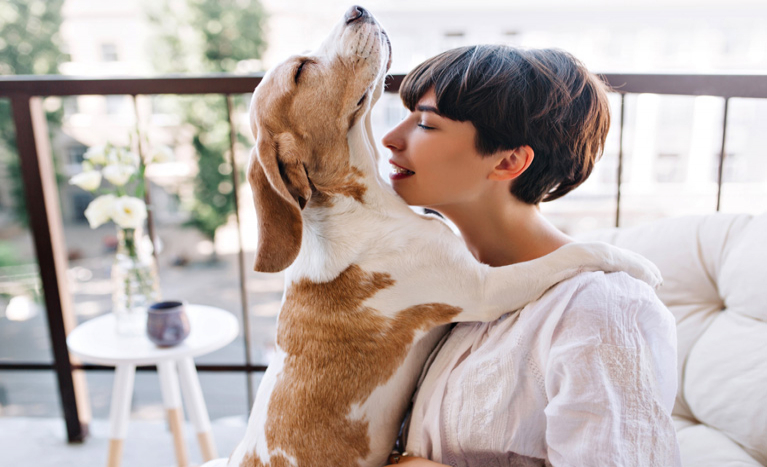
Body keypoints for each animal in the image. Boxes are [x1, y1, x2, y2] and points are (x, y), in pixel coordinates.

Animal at [213, 4, 664, 467]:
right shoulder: (485, 288)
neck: (364, 205)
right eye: (301, 71)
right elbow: (571, 253)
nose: (356, 9)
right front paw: (636, 262)